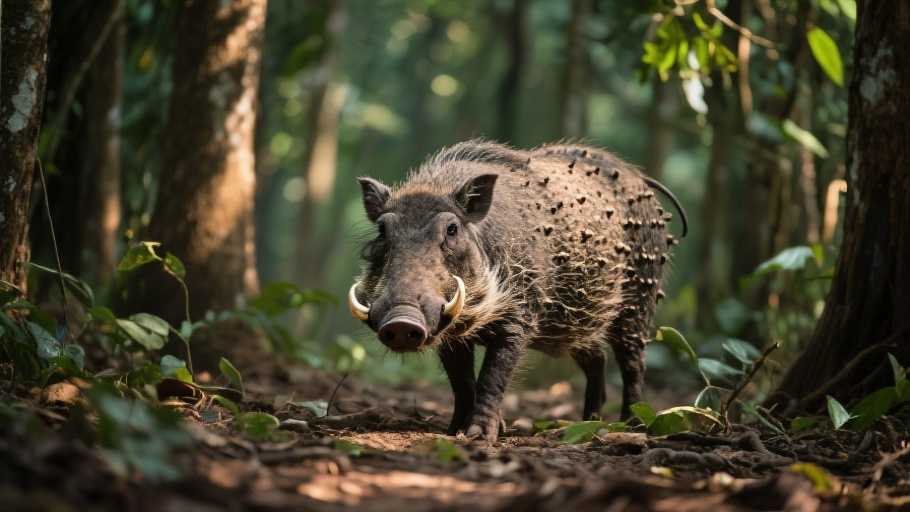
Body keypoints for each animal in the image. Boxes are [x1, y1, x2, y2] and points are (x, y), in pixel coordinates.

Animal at [348, 140, 687, 441]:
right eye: (382, 230)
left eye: (452, 229)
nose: (401, 321)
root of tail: (638, 178)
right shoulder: (450, 334)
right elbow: (462, 384)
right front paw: (455, 431)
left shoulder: (517, 320)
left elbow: (492, 378)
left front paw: (480, 435)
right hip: (579, 323)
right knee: (597, 360)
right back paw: (590, 424)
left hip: (639, 304)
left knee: (633, 364)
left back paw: (633, 426)